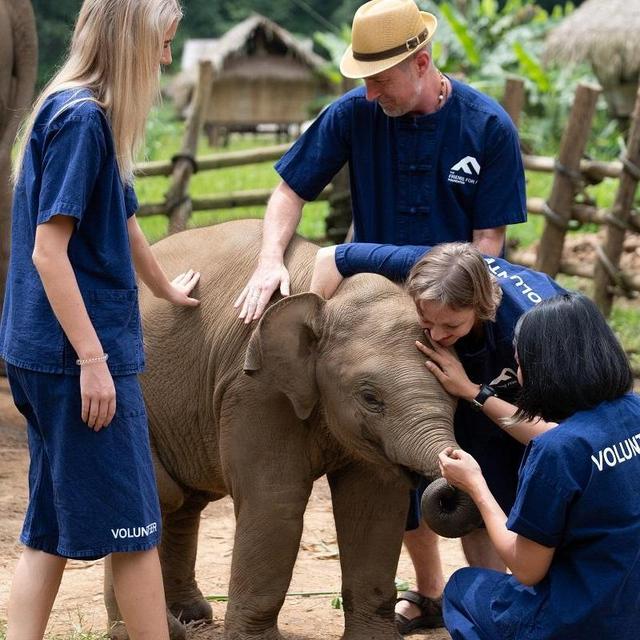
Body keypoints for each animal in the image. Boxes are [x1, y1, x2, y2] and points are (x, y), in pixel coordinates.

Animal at [105, 218, 479, 640]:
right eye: (370, 397)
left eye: (454, 391)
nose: (449, 475)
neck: (331, 299)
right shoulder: (254, 388)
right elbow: (275, 500)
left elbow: (374, 505)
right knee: (158, 497)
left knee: (181, 503)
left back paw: (190, 617)